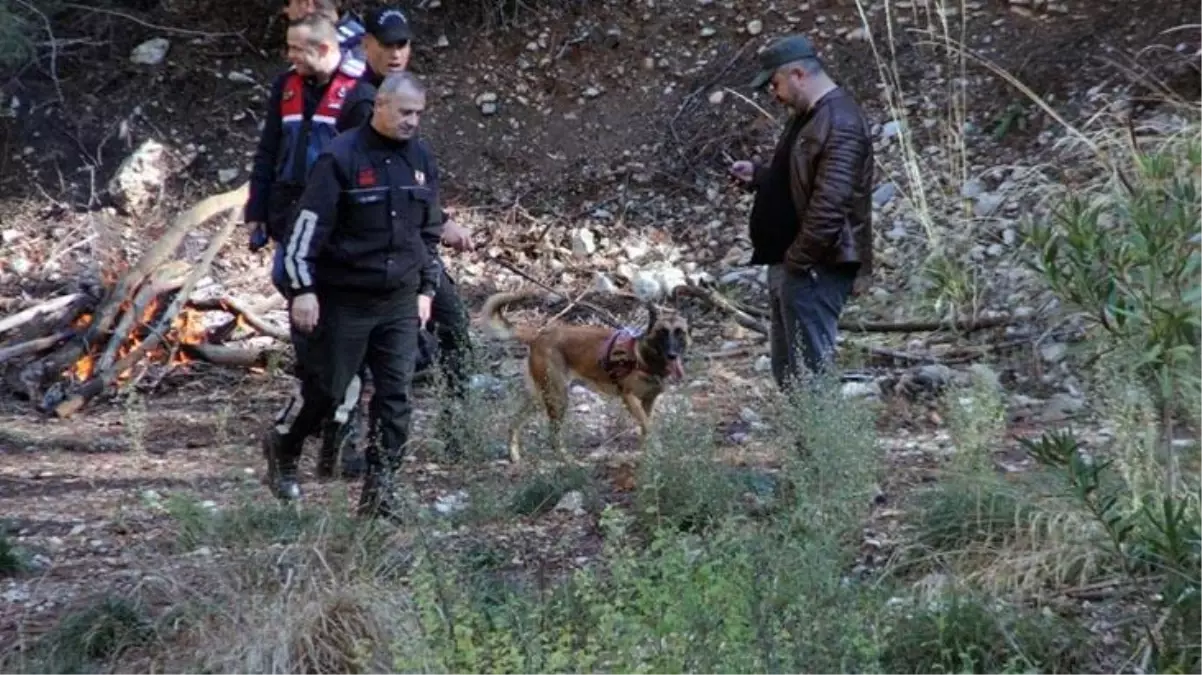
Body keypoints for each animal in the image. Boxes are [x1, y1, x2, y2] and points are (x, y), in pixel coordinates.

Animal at [475, 289, 692, 461]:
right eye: (662, 332)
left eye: (679, 332)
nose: (672, 354)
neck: (645, 357)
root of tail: (538, 335)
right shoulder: (629, 397)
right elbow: (648, 426)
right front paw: (655, 449)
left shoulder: (648, 401)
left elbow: (646, 427)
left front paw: (647, 451)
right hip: (558, 397)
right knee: (553, 436)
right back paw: (569, 462)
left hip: (541, 396)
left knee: (514, 422)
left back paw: (514, 455)